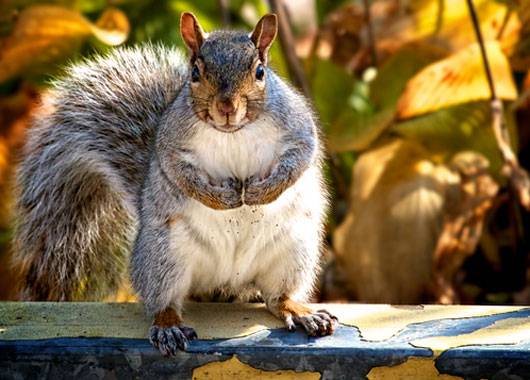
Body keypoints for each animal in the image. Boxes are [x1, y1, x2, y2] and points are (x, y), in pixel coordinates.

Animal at [12, 12, 336, 356]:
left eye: (259, 71)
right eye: (195, 72)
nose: (226, 107)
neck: (233, 132)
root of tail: (224, 283)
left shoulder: (298, 127)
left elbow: (300, 157)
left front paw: (262, 192)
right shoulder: (170, 142)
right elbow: (180, 173)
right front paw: (222, 199)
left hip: (293, 251)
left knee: (278, 297)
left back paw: (299, 311)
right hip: (163, 256)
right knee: (163, 301)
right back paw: (168, 326)